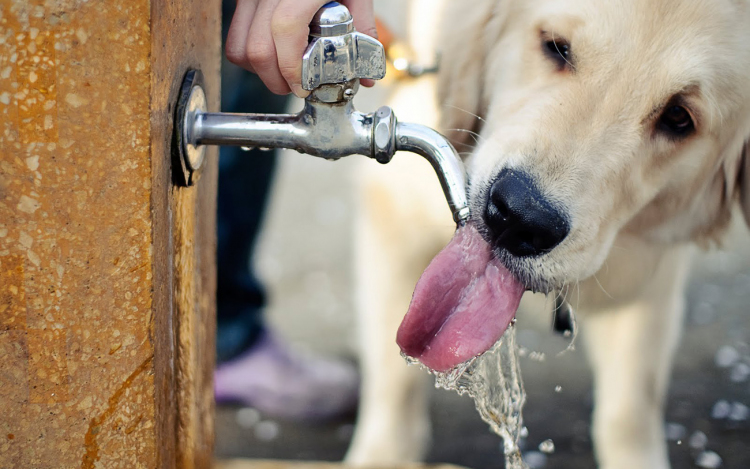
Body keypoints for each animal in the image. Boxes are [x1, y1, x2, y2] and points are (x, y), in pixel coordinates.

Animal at [346, 0, 750, 468]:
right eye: (556, 47)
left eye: (679, 117)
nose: (519, 218)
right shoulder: (394, 207)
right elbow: (394, 378)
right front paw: (383, 457)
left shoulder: (647, 273)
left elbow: (629, 408)